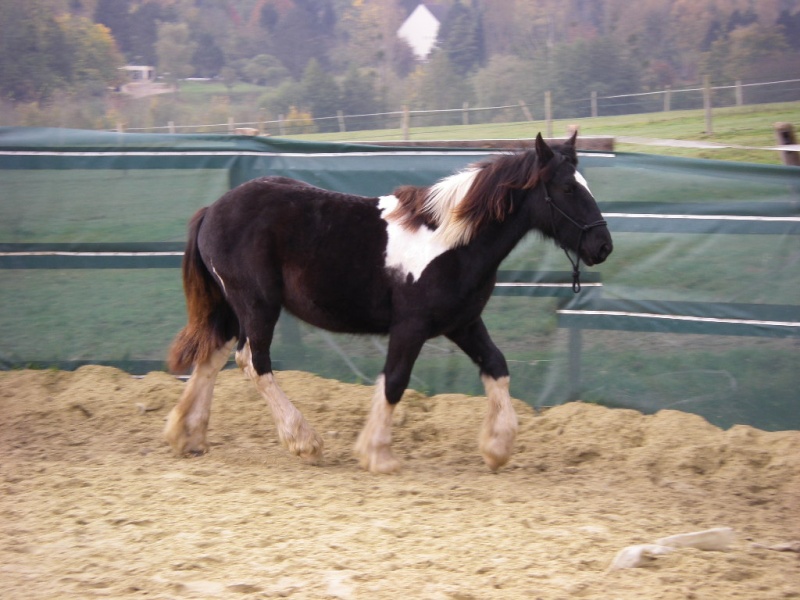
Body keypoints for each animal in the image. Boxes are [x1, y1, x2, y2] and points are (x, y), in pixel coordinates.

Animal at [162, 132, 612, 474]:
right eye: (567, 188)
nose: (602, 246)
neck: (451, 243)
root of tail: (212, 210)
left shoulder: (464, 323)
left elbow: (497, 367)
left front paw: (497, 448)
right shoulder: (411, 326)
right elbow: (394, 380)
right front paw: (377, 454)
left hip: (232, 307)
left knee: (212, 355)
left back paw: (188, 435)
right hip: (258, 306)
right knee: (253, 362)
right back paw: (304, 441)